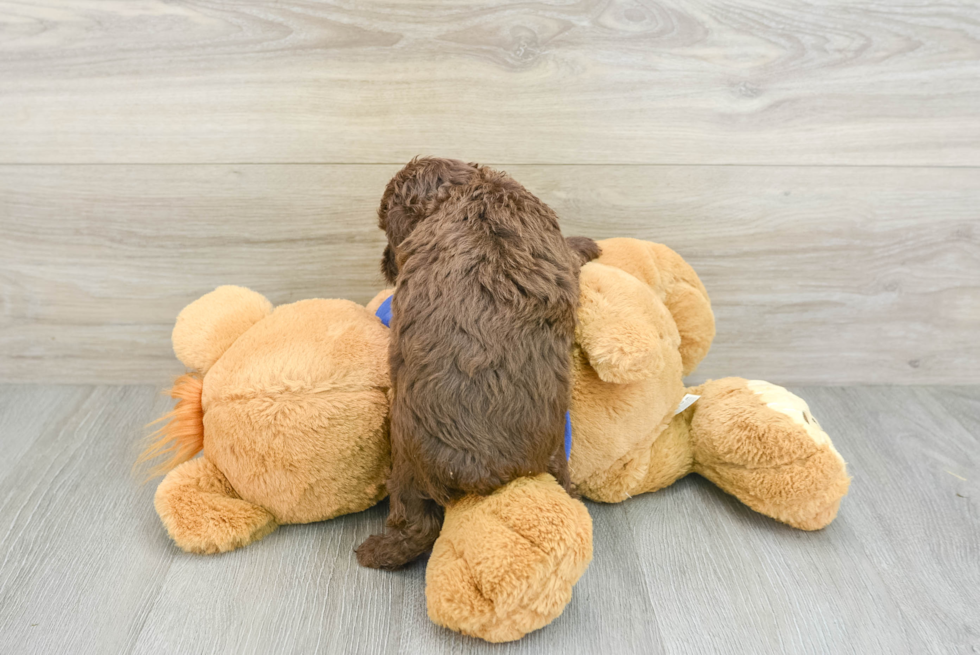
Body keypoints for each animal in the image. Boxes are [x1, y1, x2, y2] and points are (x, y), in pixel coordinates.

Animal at [352, 158, 596, 568]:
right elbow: (571, 253)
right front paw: (589, 244)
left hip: (406, 463)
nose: (386, 263)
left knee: (417, 525)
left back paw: (376, 552)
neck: (471, 188)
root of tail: (483, 476)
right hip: (550, 453)